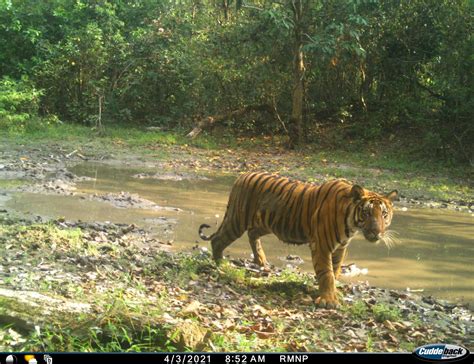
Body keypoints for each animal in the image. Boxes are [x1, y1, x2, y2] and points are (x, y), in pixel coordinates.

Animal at [198, 172, 398, 308]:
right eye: (367, 213)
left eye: (384, 215)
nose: (377, 232)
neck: (351, 224)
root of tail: (242, 176)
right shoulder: (321, 245)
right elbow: (326, 273)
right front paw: (329, 300)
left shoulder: (340, 248)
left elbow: (335, 270)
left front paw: (330, 292)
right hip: (237, 220)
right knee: (218, 239)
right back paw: (221, 264)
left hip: (266, 223)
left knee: (252, 234)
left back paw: (261, 260)